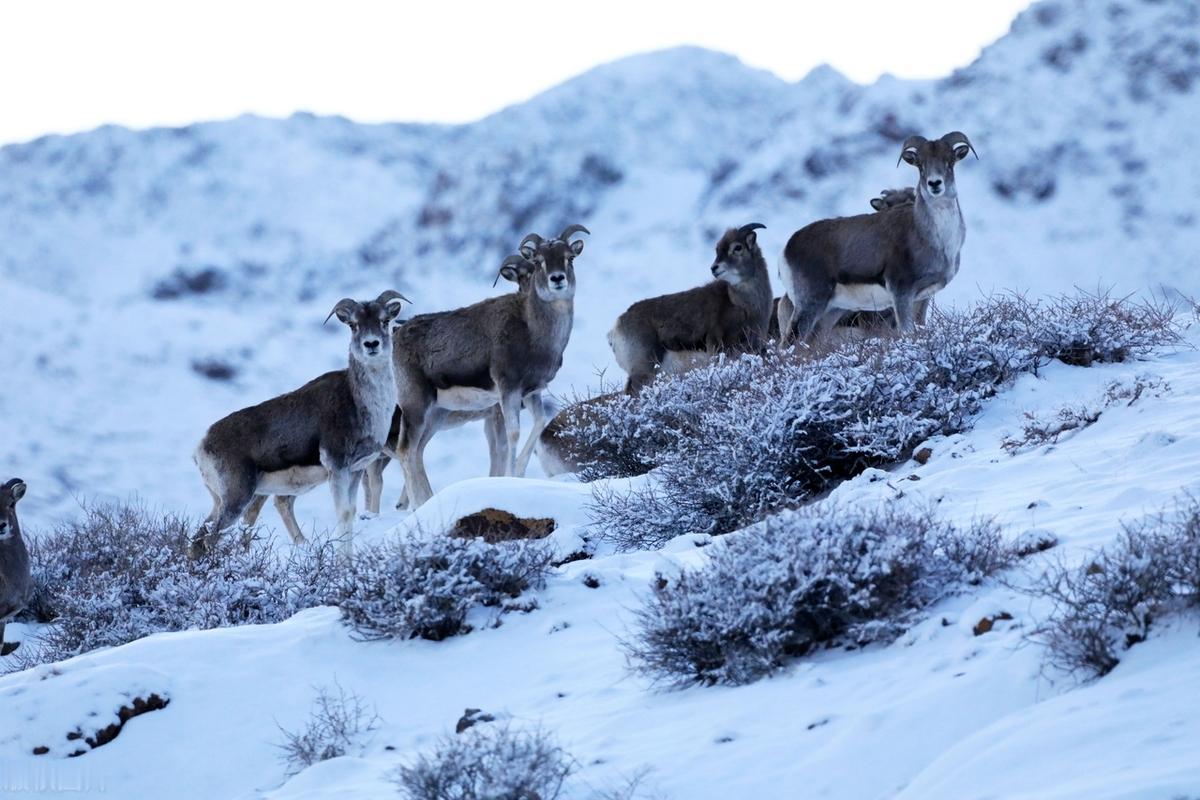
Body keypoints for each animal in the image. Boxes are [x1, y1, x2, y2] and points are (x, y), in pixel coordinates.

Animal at [192, 291, 405, 561]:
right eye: (354, 325)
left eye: (384, 321)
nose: (371, 345)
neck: (363, 405)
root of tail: (202, 446)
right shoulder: (337, 469)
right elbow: (344, 514)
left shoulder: (356, 471)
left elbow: (351, 513)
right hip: (235, 501)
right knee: (210, 538)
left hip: (225, 502)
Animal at [604, 221, 772, 393]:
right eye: (718, 249)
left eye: (738, 247)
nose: (714, 268)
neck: (743, 304)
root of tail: (616, 328)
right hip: (643, 370)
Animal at [777, 131, 974, 345]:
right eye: (920, 165)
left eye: (950, 162)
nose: (935, 184)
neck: (939, 241)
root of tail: (786, 250)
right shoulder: (901, 294)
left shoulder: (919, 299)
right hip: (809, 307)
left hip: (830, 313)